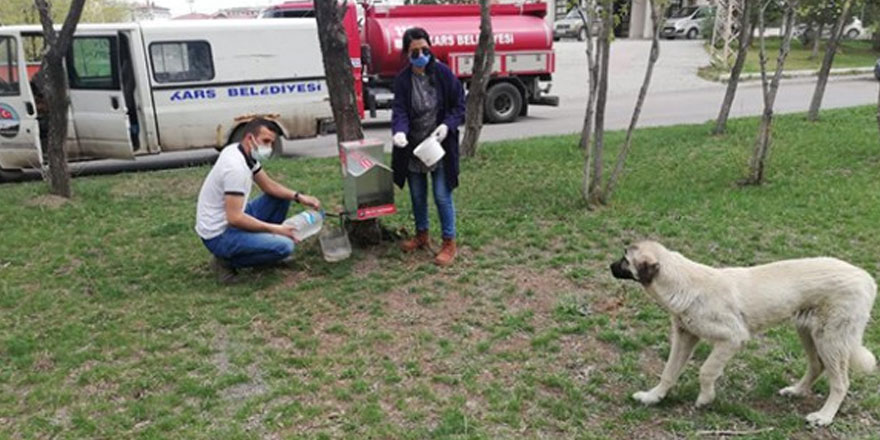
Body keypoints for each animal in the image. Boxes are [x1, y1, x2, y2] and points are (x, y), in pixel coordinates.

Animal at [608, 241, 876, 426]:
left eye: (625, 259)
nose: (609, 266)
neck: (686, 284)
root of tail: (867, 278)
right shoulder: (685, 337)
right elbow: (668, 372)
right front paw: (653, 397)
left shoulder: (732, 339)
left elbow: (706, 371)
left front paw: (706, 398)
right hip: (808, 332)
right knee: (817, 366)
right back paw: (796, 391)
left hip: (830, 340)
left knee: (841, 382)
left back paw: (824, 416)